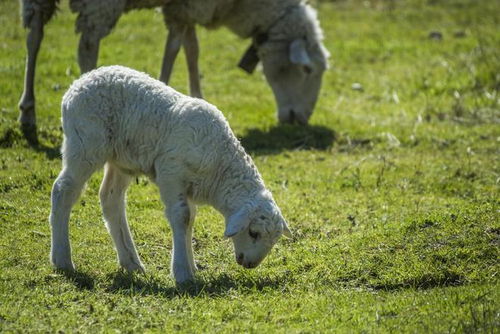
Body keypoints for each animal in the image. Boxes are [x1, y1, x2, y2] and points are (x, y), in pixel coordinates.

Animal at [19, 0, 330, 142]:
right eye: (307, 69)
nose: (301, 119)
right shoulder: (186, 7)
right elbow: (175, 47)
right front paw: (163, 89)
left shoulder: (186, 7)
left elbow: (192, 48)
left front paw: (198, 96)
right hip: (100, 4)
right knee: (88, 45)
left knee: (34, 35)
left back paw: (27, 113)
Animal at [48, 66, 292, 284]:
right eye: (253, 233)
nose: (250, 264)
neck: (220, 166)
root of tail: (77, 83)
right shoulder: (171, 173)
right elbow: (181, 216)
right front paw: (182, 273)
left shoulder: (188, 186)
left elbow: (190, 218)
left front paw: (192, 266)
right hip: (85, 143)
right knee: (63, 190)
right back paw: (62, 260)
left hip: (121, 158)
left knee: (111, 199)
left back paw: (131, 262)